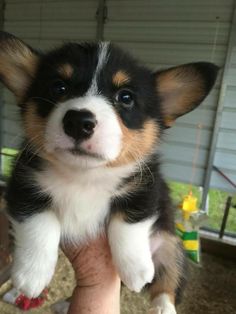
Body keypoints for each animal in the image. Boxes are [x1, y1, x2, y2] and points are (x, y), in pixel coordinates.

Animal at [0, 32, 218, 314]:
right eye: (59, 88)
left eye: (125, 97)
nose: (78, 122)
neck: (84, 176)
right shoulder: (23, 186)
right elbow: (39, 223)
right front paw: (31, 275)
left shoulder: (148, 190)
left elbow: (127, 224)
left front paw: (136, 269)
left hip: (172, 248)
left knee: (167, 282)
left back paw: (162, 307)